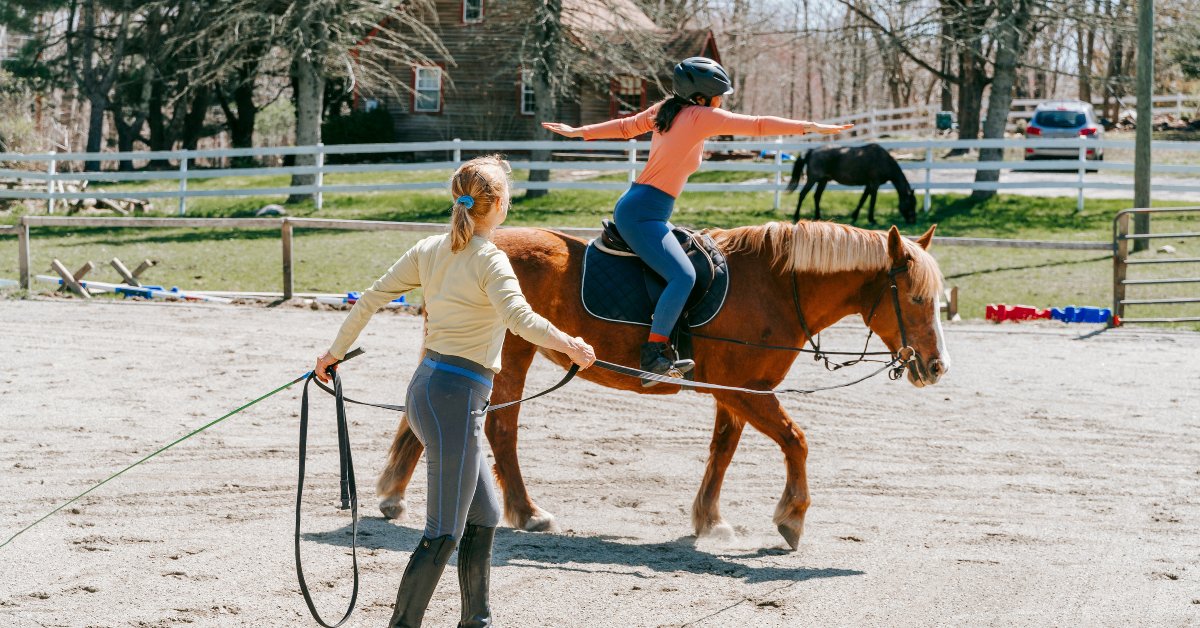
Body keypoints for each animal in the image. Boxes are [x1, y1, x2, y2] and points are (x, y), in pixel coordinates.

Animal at [374, 220, 945, 549]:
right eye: (916, 298)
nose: (936, 366)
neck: (774, 286)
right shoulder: (746, 392)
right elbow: (796, 441)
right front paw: (792, 518)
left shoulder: (738, 394)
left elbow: (722, 451)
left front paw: (709, 520)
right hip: (509, 355)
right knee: (500, 430)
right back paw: (527, 512)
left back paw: (396, 496)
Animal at [787, 143, 916, 224]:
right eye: (911, 204)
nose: (912, 221)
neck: (883, 160)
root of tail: (812, 150)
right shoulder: (874, 184)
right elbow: (872, 201)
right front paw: (872, 220)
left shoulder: (868, 185)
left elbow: (862, 200)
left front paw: (854, 216)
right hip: (812, 179)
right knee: (802, 195)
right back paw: (796, 216)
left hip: (823, 181)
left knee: (817, 196)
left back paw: (818, 217)